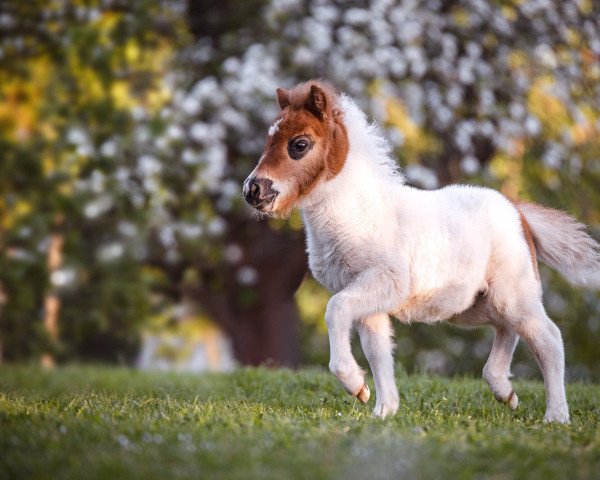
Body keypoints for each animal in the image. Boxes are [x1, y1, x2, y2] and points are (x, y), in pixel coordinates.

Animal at [243, 79, 600, 424]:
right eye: (268, 140)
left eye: (299, 144)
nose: (253, 190)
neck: (360, 212)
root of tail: (518, 211)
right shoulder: (369, 300)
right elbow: (378, 351)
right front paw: (383, 410)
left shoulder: (386, 282)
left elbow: (335, 310)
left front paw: (355, 385)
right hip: (476, 305)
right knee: (507, 328)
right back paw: (505, 391)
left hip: (513, 294)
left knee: (548, 339)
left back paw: (556, 417)